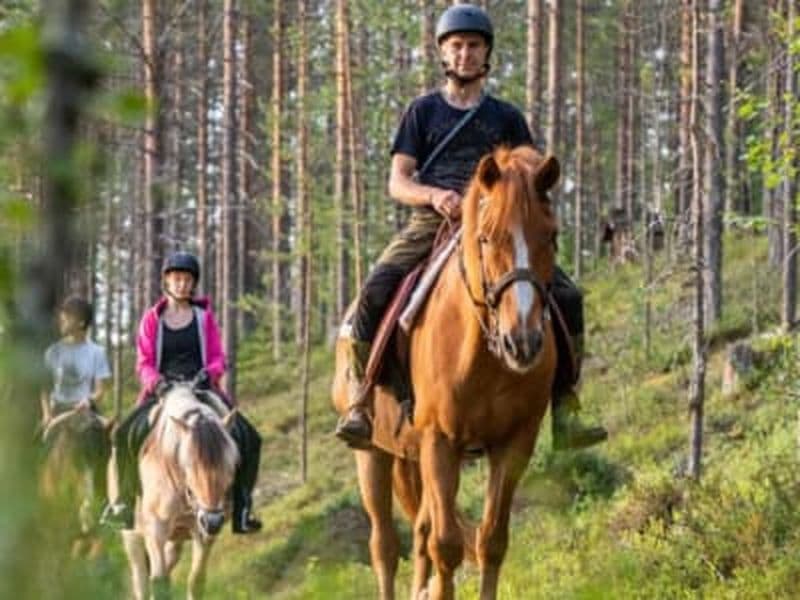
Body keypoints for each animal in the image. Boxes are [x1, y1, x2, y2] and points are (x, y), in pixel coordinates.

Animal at [118, 384, 238, 600]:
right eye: (188, 465)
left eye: (231, 464)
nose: (212, 521)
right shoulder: (155, 529)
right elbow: (159, 585)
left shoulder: (203, 533)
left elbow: (196, 581)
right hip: (133, 535)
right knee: (141, 578)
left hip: (178, 536)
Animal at [333, 145, 560, 600]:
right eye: (487, 237)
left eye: (551, 236)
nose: (522, 341)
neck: (486, 357)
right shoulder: (440, 441)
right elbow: (447, 546)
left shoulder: (513, 445)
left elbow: (490, 541)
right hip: (373, 454)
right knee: (385, 545)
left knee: (420, 533)